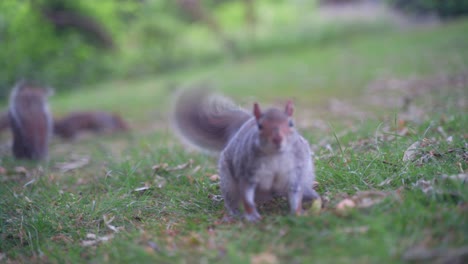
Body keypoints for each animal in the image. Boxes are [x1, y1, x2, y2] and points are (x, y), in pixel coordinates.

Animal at [174, 87, 320, 222]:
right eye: (260, 126)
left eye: (291, 123)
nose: (277, 139)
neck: (275, 155)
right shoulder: (247, 171)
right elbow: (246, 195)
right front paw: (252, 216)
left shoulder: (295, 170)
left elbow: (295, 191)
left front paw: (297, 212)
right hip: (229, 184)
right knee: (232, 198)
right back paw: (234, 213)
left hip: (306, 175)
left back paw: (312, 196)